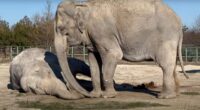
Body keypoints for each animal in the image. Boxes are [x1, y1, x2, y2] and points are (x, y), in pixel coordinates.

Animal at [54, 0, 188, 99]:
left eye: (62, 30)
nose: (85, 95)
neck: (82, 6)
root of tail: (179, 22)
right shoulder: (93, 38)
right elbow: (93, 61)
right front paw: (95, 95)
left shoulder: (102, 32)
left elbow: (115, 54)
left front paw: (107, 96)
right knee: (172, 65)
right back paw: (175, 94)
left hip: (166, 37)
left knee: (165, 64)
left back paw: (164, 96)